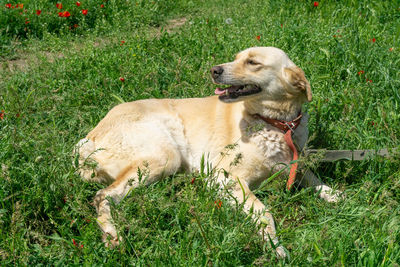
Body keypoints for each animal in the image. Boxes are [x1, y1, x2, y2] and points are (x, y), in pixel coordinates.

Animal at [76, 47, 340, 258]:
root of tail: (88, 140)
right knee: (102, 196)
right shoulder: (224, 177)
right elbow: (264, 211)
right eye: (237, 57)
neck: (276, 124)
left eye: (252, 62)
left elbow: (312, 177)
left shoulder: (294, 162)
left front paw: (331, 193)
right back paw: (113, 237)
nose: (214, 70)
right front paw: (275, 246)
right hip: (165, 156)